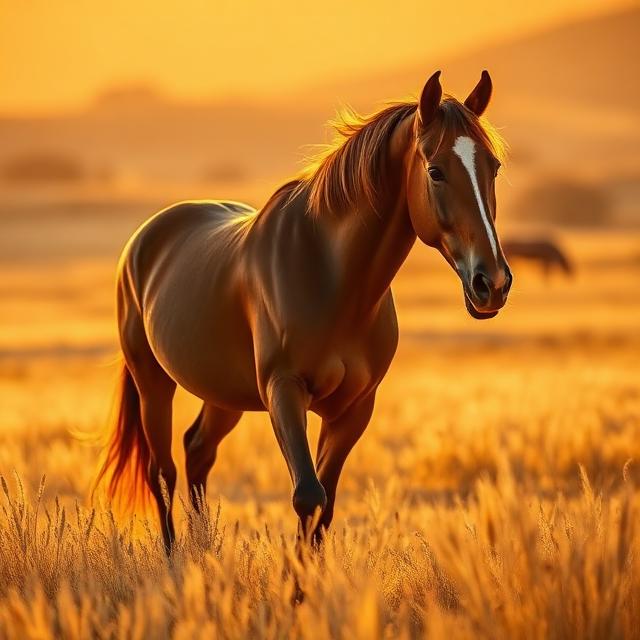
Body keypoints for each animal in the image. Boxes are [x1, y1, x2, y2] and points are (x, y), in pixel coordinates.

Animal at [95, 70, 512, 552]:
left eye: (494, 167)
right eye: (435, 170)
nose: (492, 284)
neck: (333, 281)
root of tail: (146, 237)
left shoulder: (354, 410)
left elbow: (324, 508)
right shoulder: (284, 391)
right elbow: (308, 496)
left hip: (223, 393)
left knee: (198, 450)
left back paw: (204, 551)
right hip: (153, 382)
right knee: (161, 472)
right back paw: (176, 558)